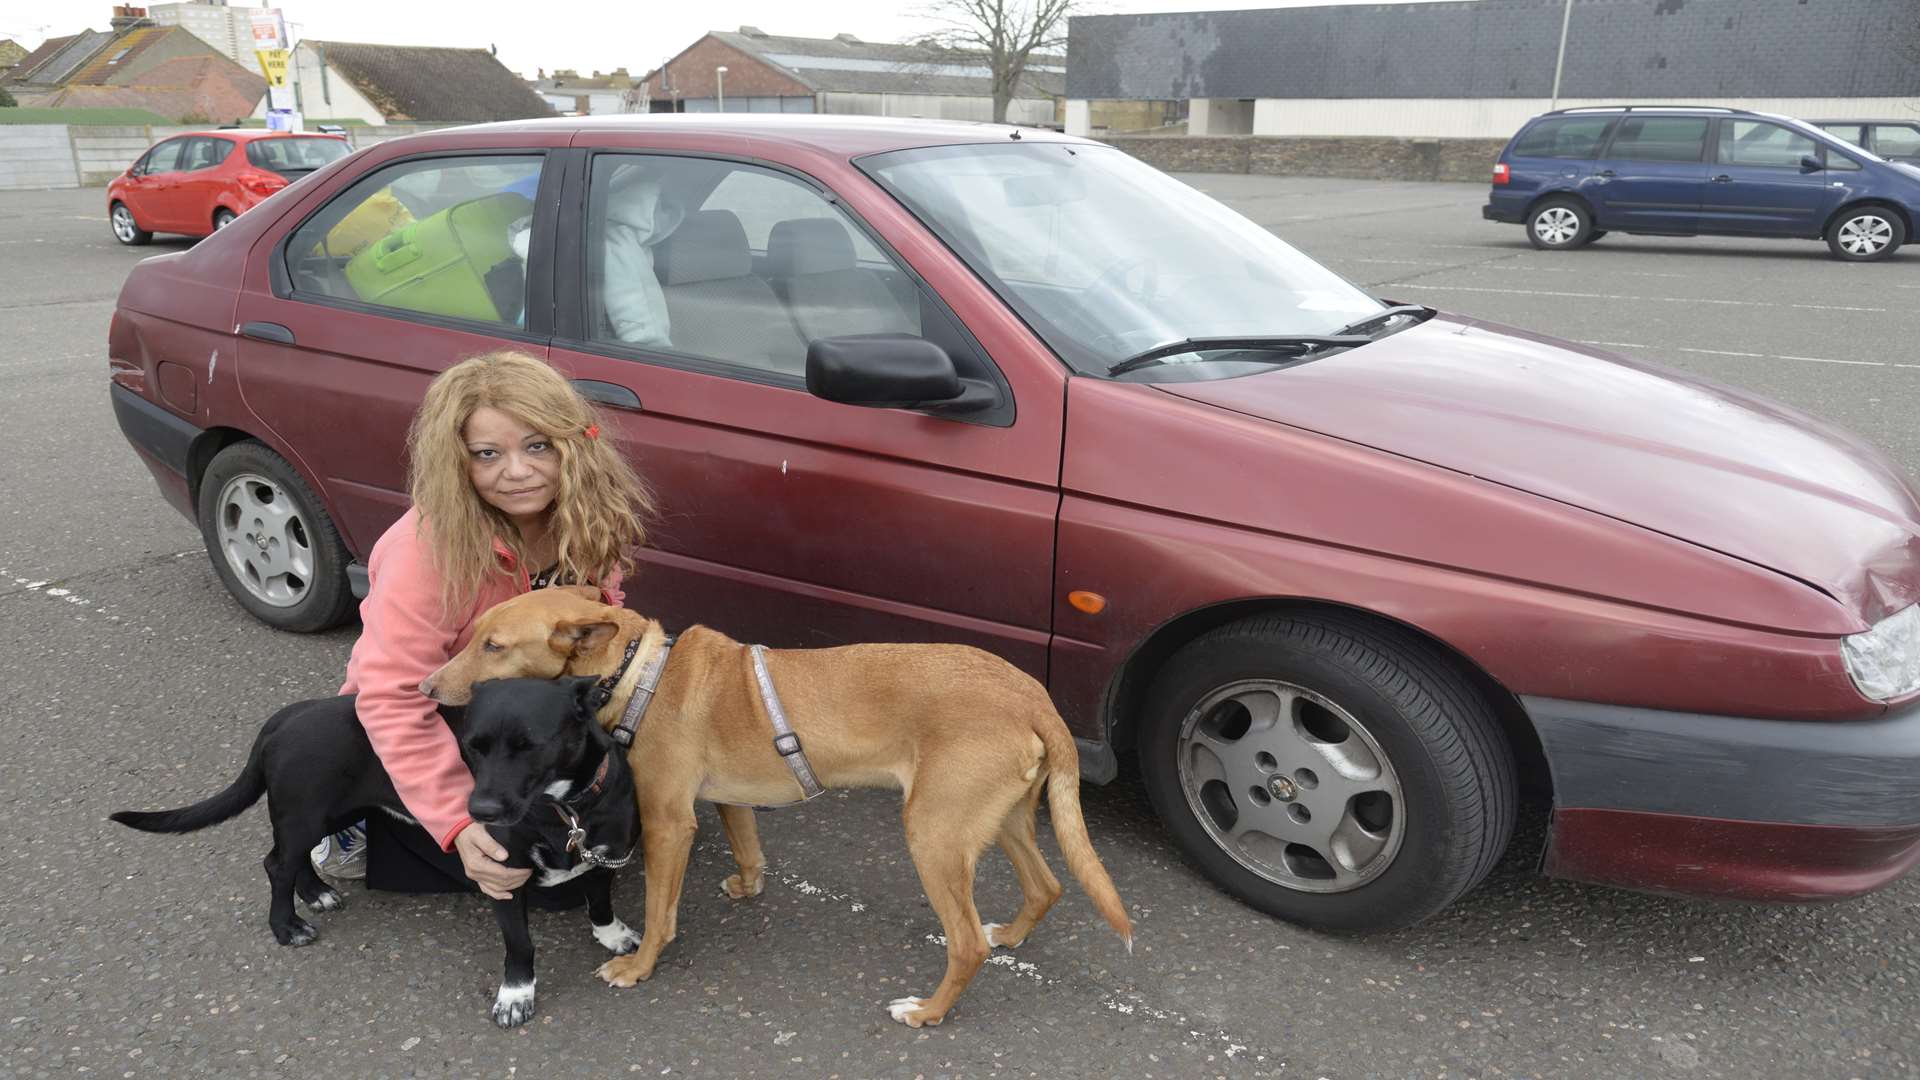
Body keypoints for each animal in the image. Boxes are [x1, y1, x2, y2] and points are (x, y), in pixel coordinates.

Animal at [110, 676, 637, 1022]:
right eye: (472, 745)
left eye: (531, 745)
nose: (479, 810)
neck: (563, 810)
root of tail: (288, 716)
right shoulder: (500, 877)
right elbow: (520, 944)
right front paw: (515, 995)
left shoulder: (605, 857)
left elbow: (600, 901)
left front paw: (611, 936)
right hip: (305, 813)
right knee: (276, 864)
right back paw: (286, 925)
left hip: (333, 813)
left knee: (289, 860)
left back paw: (316, 893)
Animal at [424, 584, 1121, 1022]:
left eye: (493, 646)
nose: (427, 686)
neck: (637, 672)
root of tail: (1032, 694)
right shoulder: (728, 800)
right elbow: (749, 849)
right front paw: (748, 885)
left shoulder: (669, 824)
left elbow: (659, 914)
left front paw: (639, 966)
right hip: (998, 820)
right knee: (1046, 887)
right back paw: (1013, 934)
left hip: (933, 835)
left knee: (968, 944)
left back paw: (928, 1012)